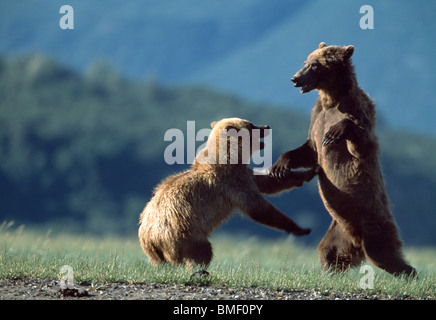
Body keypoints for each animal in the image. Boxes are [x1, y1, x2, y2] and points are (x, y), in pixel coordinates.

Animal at [139, 116, 314, 272]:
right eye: (251, 125)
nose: (266, 126)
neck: (230, 157)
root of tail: (149, 236)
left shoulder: (243, 174)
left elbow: (265, 182)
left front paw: (306, 173)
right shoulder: (231, 183)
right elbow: (258, 208)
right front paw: (300, 229)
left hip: (155, 250)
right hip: (183, 233)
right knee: (202, 251)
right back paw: (198, 270)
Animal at [270, 42, 418, 278]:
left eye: (315, 64)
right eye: (306, 61)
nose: (294, 78)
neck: (331, 99)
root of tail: (357, 240)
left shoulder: (356, 108)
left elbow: (359, 141)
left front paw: (335, 132)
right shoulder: (316, 117)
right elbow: (309, 149)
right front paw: (280, 165)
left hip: (374, 223)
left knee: (384, 255)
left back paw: (410, 273)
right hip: (338, 229)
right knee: (328, 251)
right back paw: (331, 272)